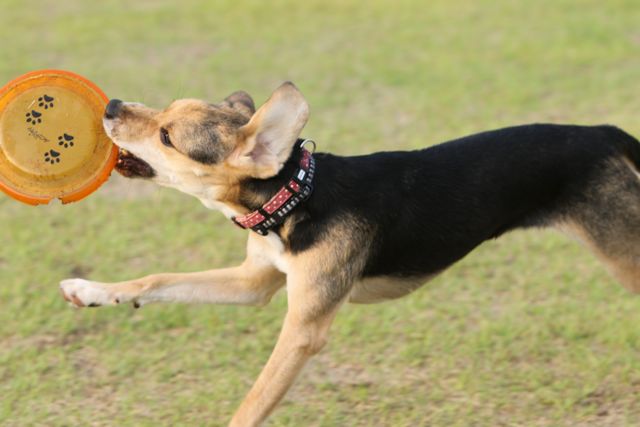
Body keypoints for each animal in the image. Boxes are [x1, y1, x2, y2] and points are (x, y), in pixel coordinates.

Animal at [58, 82, 640, 426]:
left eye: (167, 136)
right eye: (166, 110)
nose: (110, 106)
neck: (297, 195)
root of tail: (602, 133)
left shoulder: (302, 331)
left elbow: (253, 401)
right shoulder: (255, 283)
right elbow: (157, 280)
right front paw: (90, 291)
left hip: (625, 252)